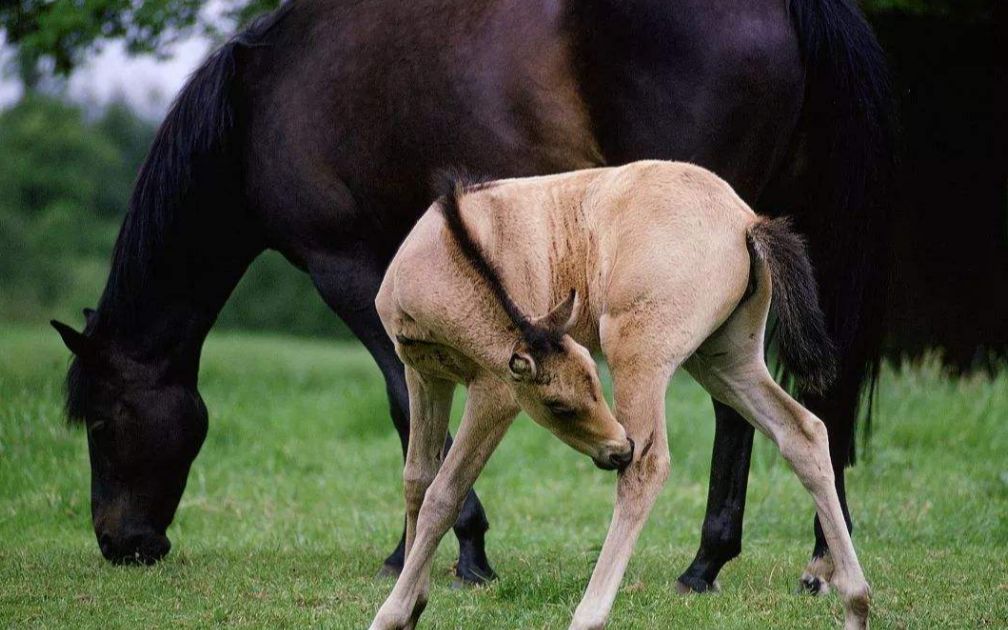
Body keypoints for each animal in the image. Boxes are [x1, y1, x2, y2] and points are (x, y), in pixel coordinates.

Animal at [374, 162, 870, 628]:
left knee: (647, 468)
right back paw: (856, 603)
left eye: (587, 390)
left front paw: (393, 612)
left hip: (638, 354)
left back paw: (587, 615)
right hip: (724, 361)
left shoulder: (496, 391)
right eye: (563, 403)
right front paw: (413, 602)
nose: (617, 448)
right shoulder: (423, 375)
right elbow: (417, 479)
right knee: (804, 433)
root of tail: (746, 220)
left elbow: (445, 492)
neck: (447, 249)